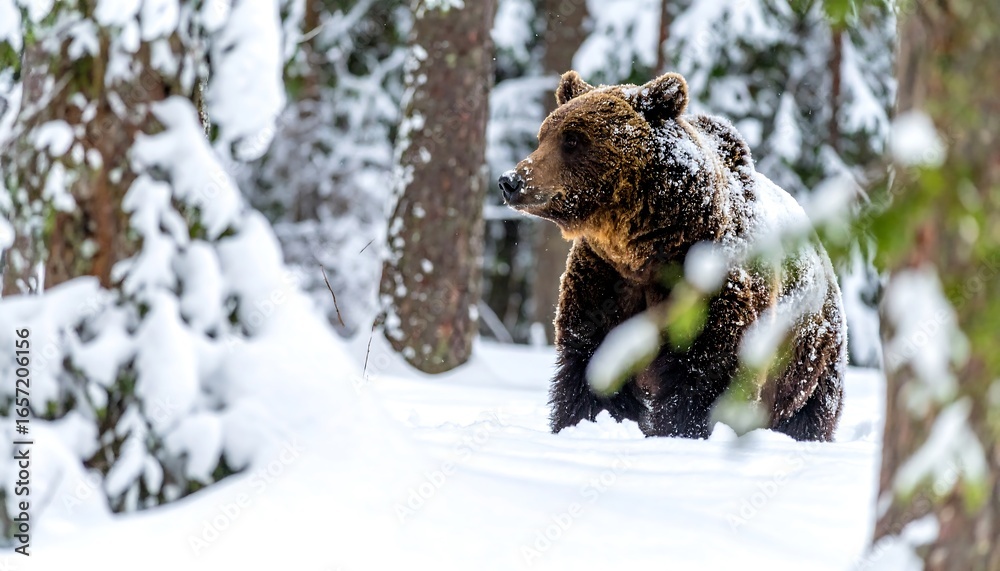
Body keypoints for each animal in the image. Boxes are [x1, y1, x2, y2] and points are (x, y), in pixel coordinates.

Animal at [498, 71, 847, 442]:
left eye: (573, 139)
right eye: (543, 135)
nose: (511, 180)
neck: (644, 248)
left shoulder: (708, 281)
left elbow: (707, 373)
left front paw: (683, 431)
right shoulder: (604, 278)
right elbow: (591, 362)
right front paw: (587, 422)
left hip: (810, 356)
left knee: (810, 409)